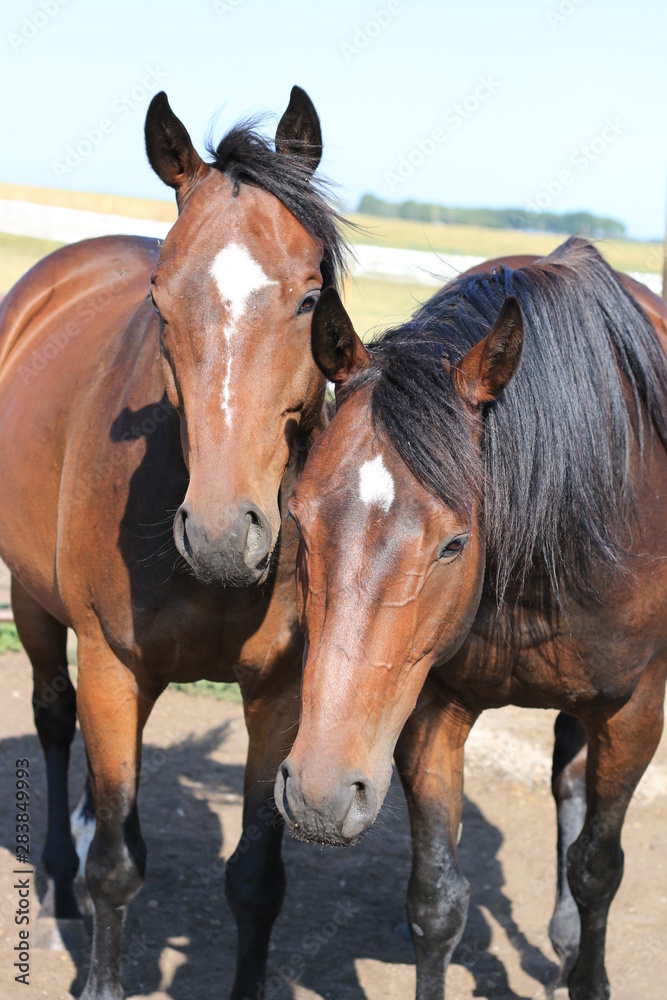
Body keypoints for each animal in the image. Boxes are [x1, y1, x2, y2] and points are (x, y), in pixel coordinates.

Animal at [0, 85, 348, 1000]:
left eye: (309, 297)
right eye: (159, 300)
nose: (224, 535)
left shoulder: (279, 694)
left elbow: (256, 880)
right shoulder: (112, 667)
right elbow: (116, 866)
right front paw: (100, 974)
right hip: (34, 604)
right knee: (55, 720)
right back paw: (60, 874)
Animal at [275, 237, 667, 1000]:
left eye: (454, 543)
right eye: (299, 520)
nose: (318, 795)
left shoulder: (633, 711)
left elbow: (597, 868)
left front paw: (589, 973)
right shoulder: (432, 706)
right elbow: (436, 902)